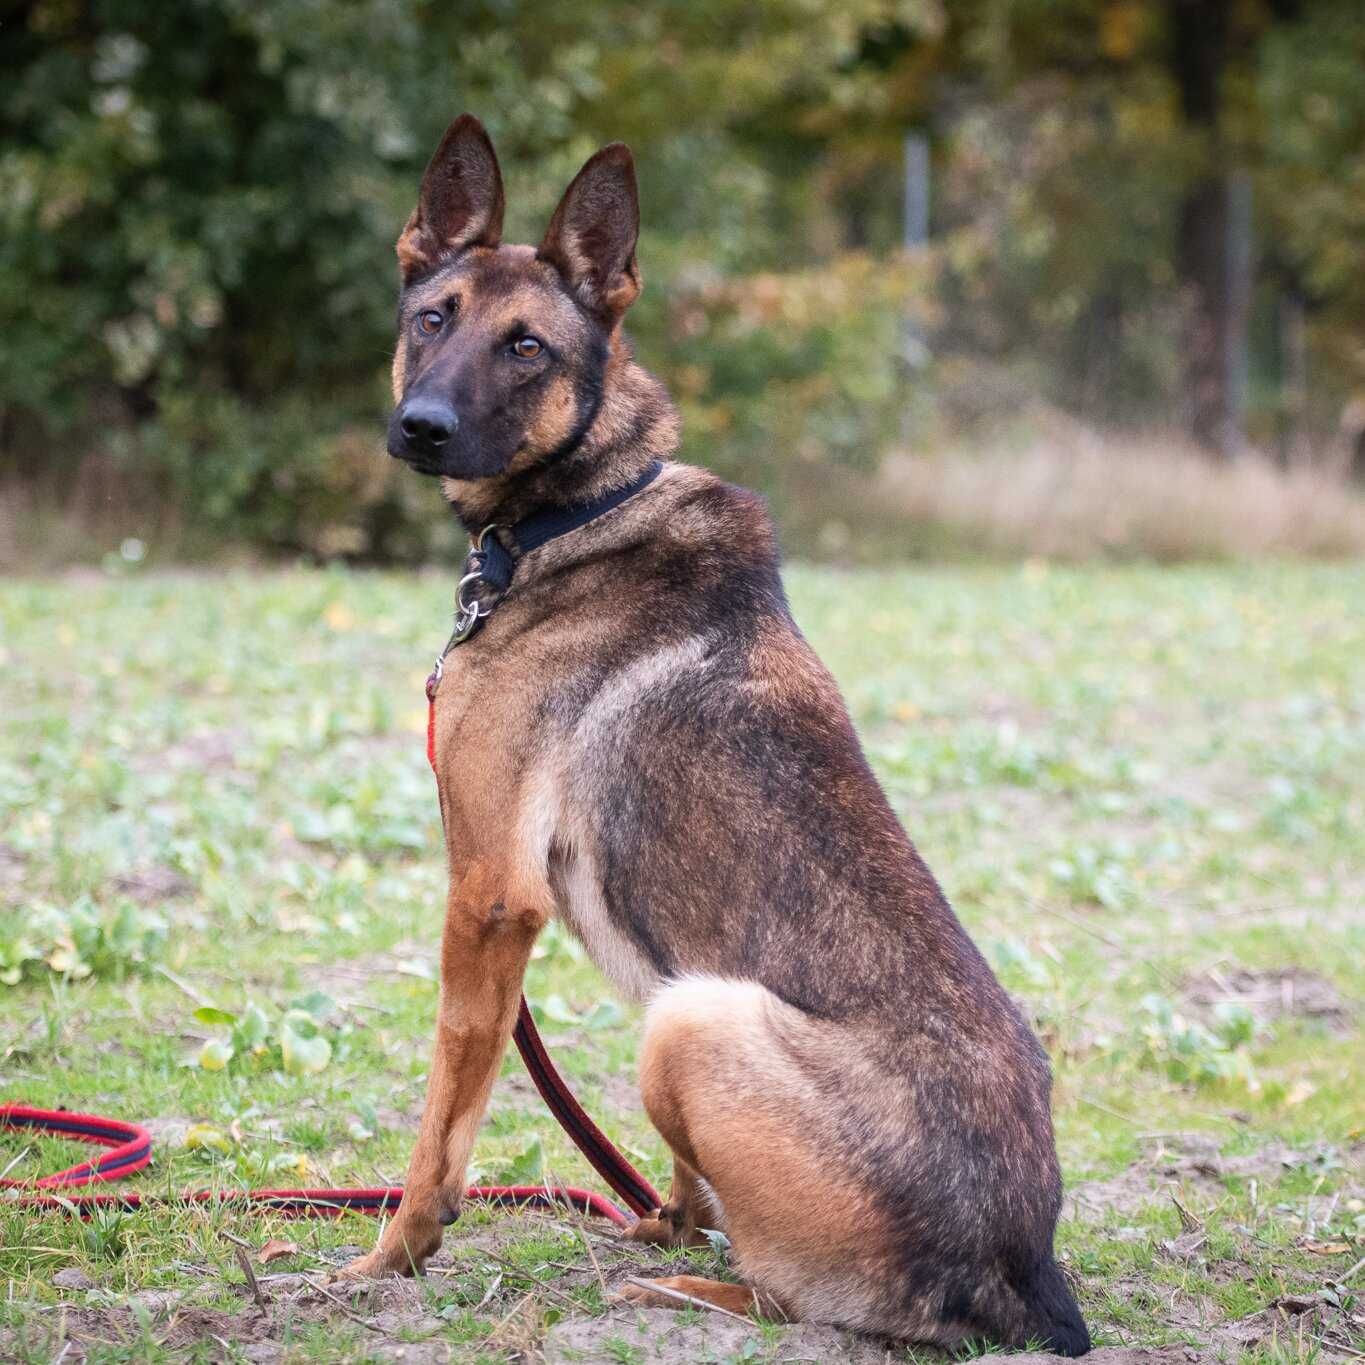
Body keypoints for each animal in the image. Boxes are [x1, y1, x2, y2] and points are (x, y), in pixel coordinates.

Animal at [346, 117, 1092, 1354]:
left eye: (526, 348)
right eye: (432, 319)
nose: (421, 429)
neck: (579, 503)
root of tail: (1023, 1271)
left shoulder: (490, 896)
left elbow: (442, 1123)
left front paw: (384, 1261)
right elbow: (678, 1175)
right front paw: (662, 1217)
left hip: (692, 1016)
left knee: (789, 1302)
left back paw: (674, 1292)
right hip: (678, 1010)